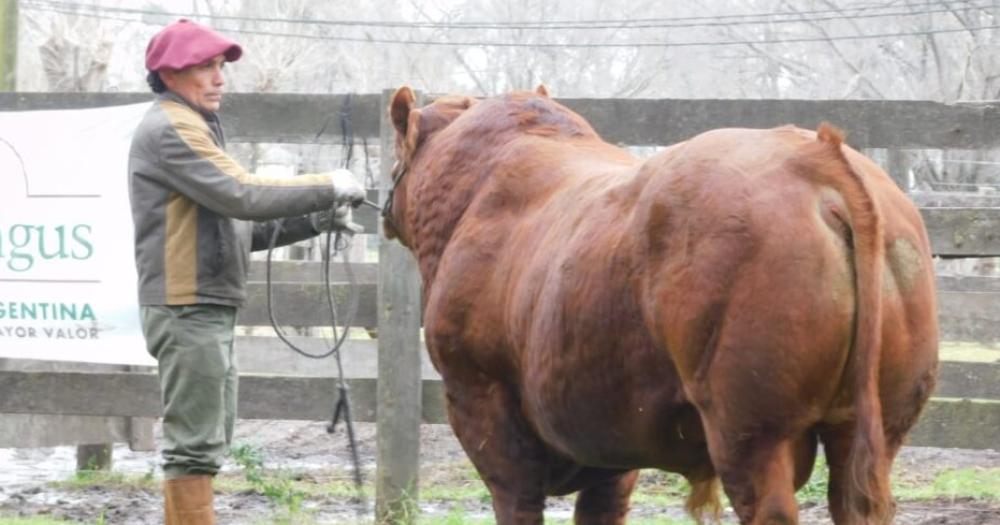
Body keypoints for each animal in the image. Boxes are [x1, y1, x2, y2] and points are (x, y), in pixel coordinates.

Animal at [380, 87, 936, 524]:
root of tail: (816, 157)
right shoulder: (608, 440)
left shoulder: (481, 403)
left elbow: (517, 503)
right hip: (876, 423)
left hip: (751, 430)